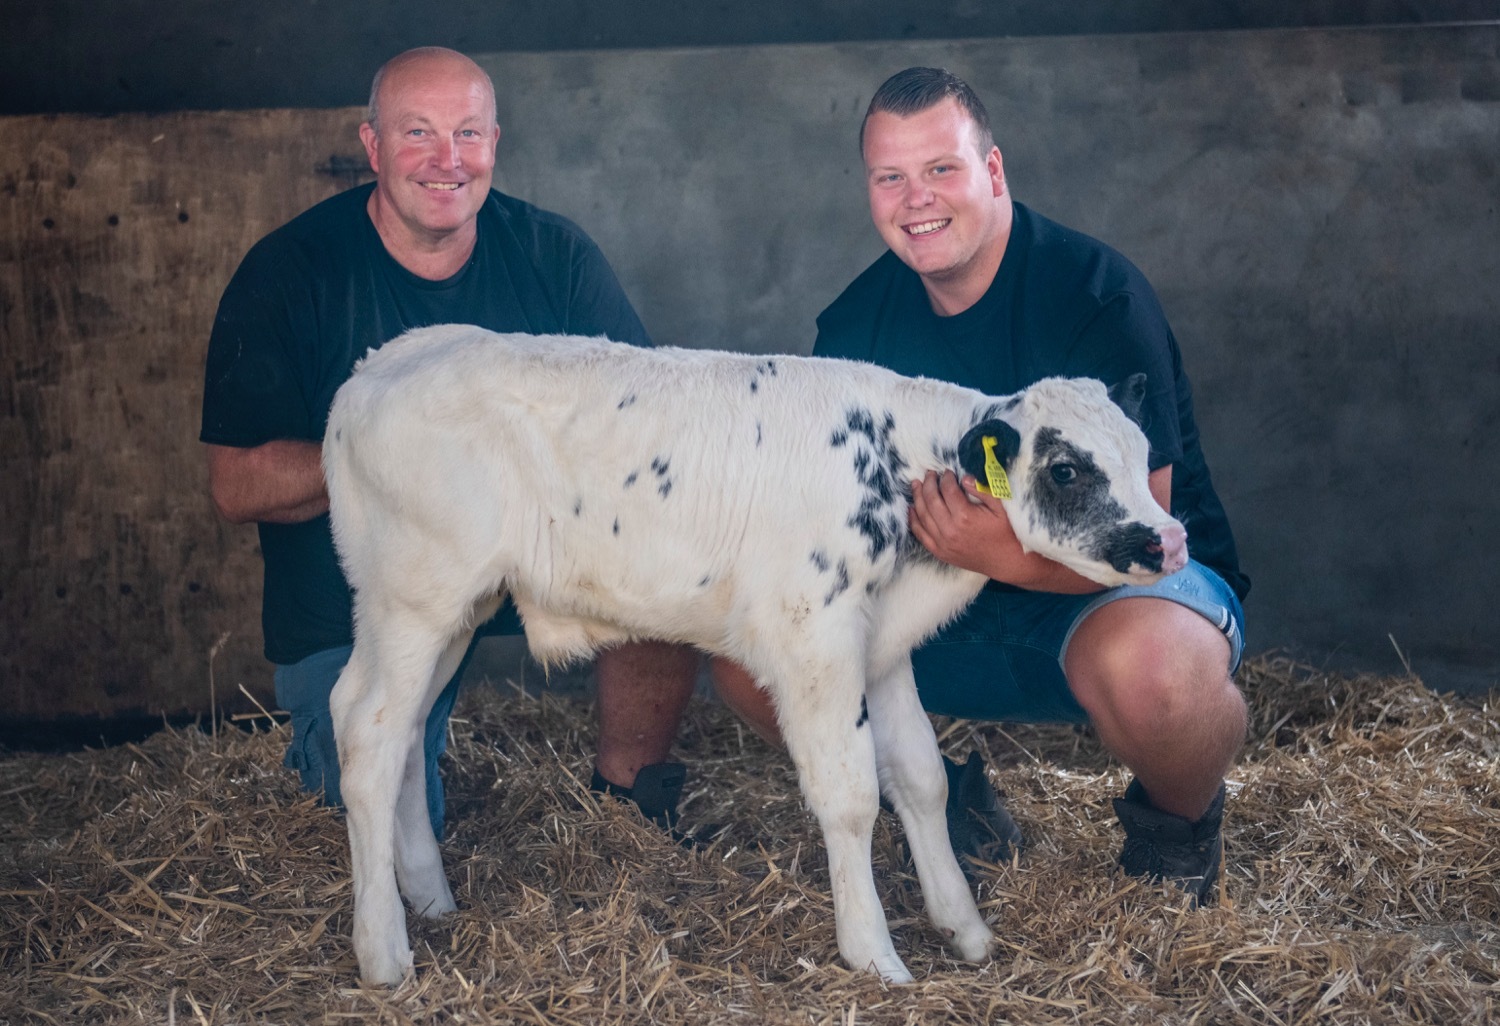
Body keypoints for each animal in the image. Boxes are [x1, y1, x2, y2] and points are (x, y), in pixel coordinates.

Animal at [322, 328, 1188, 984]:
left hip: (449, 612)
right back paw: (384, 951)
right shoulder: (813, 634)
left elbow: (921, 778)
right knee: (367, 731)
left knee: (408, 730)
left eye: (1144, 453)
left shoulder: (880, 644)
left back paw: (430, 900)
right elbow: (851, 793)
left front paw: (964, 928)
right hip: (413, 597)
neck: (897, 461)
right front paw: (875, 955)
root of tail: (377, 364)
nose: (1167, 540)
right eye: (1067, 468)